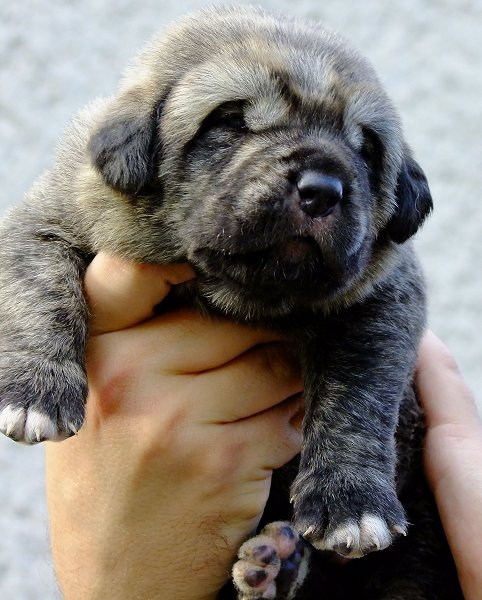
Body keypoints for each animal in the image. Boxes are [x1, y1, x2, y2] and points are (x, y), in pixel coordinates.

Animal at [0, 5, 464, 600]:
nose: (323, 188)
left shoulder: (385, 299)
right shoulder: (49, 219)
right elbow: (40, 287)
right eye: (230, 121)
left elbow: (358, 393)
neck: (234, 291)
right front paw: (37, 388)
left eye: (365, 147)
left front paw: (350, 499)